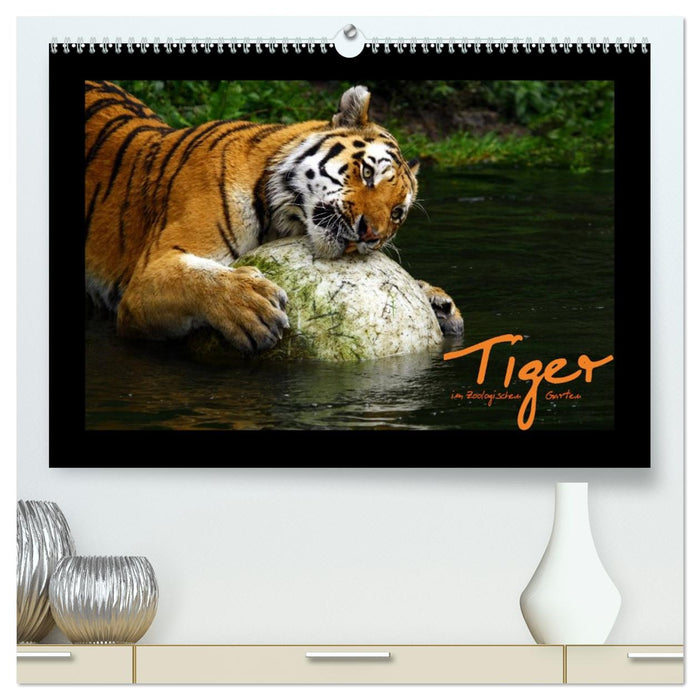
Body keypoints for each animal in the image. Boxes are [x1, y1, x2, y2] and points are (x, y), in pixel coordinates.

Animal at [85, 80, 464, 354]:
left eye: (397, 213)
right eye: (367, 173)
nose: (370, 235)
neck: (280, 218)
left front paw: (438, 303)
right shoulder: (144, 278)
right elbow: (196, 277)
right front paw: (250, 306)